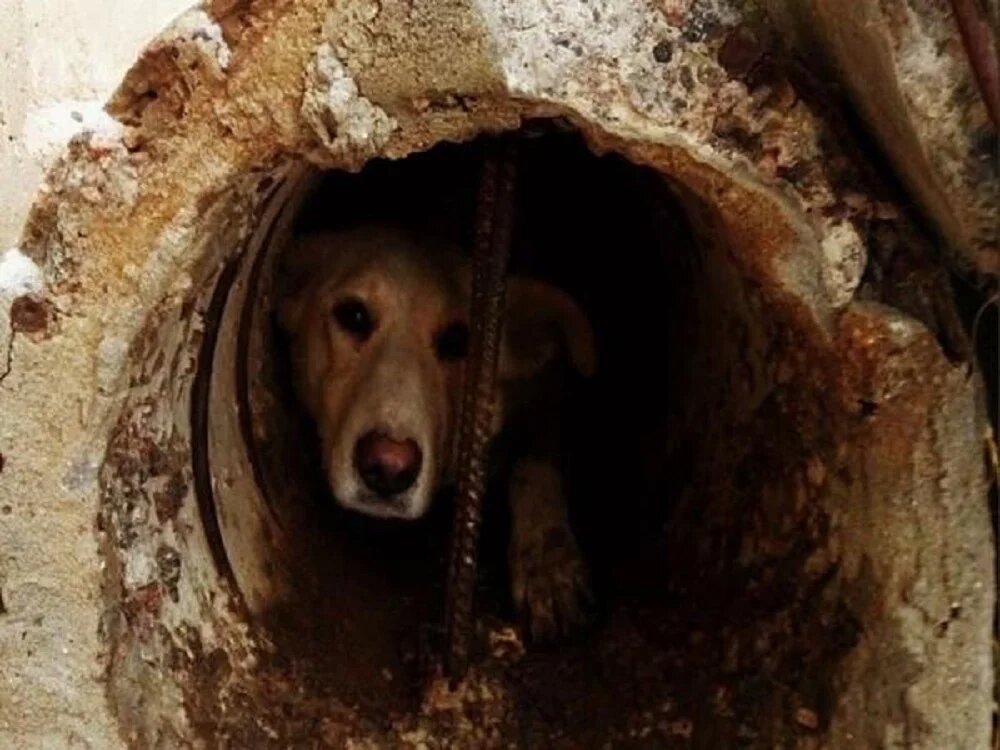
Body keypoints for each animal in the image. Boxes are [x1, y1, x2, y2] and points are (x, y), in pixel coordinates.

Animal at [278, 223, 596, 640]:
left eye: (460, 341)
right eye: (354, 315)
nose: (389, 467)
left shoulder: (549, 391)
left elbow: (535, 467)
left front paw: (546, 559)